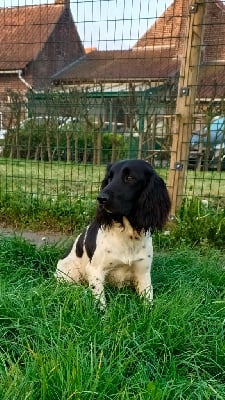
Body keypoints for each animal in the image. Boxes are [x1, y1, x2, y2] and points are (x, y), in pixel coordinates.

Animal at [54, 159, 171, 310]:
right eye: (109, 178)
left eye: (130, 178)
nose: (100, 198)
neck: (127, 234)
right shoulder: (95, 271)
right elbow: (101, 305)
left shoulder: (143, 272)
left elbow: (148, 304)